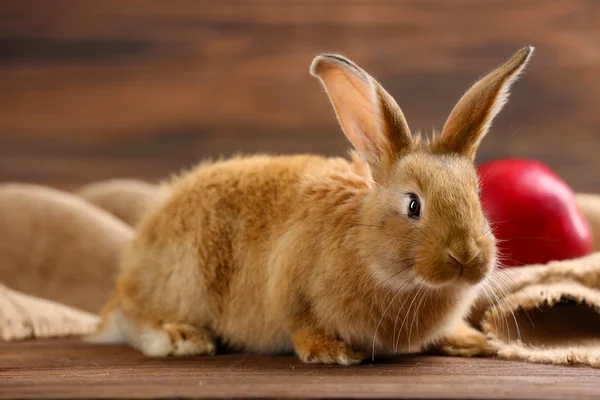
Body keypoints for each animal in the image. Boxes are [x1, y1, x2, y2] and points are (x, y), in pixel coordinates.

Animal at [90, 45, 536, 364]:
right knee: (135, 317)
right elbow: (301, 325)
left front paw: (474, 341)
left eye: (477, 196)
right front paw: (333, 352)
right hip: (185, 280)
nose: (466, 257)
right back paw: (182, 339)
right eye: (413, 205)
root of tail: (131, 271)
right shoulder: (290, 287)